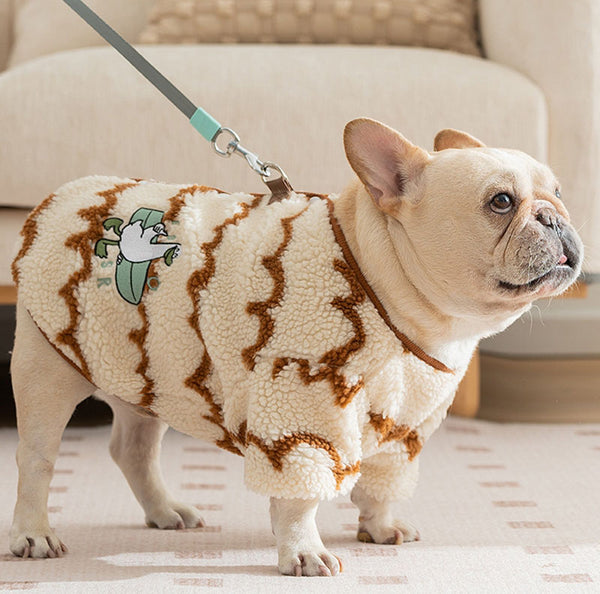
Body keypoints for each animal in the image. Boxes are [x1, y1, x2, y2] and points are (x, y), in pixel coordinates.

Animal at [8, 117, 580, 572]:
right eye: (500, 202)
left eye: (558, 190)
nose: (556, 216)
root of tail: (59, 199)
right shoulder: (302, 408)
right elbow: (298, 495)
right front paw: (303, 552)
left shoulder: (403, 427)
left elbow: (381, 482)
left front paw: (380, 526)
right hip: (48, 370)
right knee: (37, 461)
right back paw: (34, 534)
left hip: (144, 367)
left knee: (132, 449)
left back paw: (165, 511)